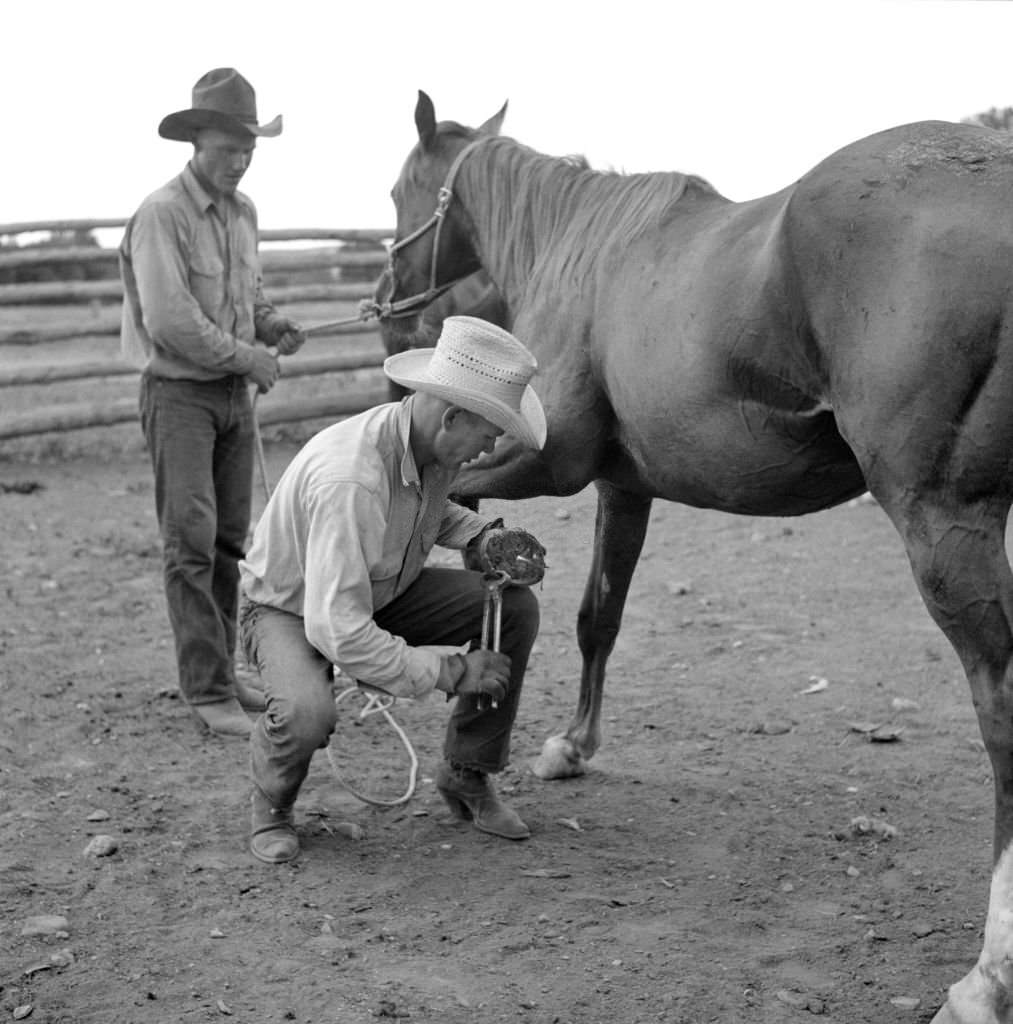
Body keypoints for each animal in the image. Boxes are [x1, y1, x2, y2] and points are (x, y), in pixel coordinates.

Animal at [381, 92, 1013, 1019]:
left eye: (400, 191)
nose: (388, 302)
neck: (585, 253)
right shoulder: (621, 488)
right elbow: (597, 617)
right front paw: (571, 747)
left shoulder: (545, 465)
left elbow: (452, 506)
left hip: (943, 528)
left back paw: (985, 975)